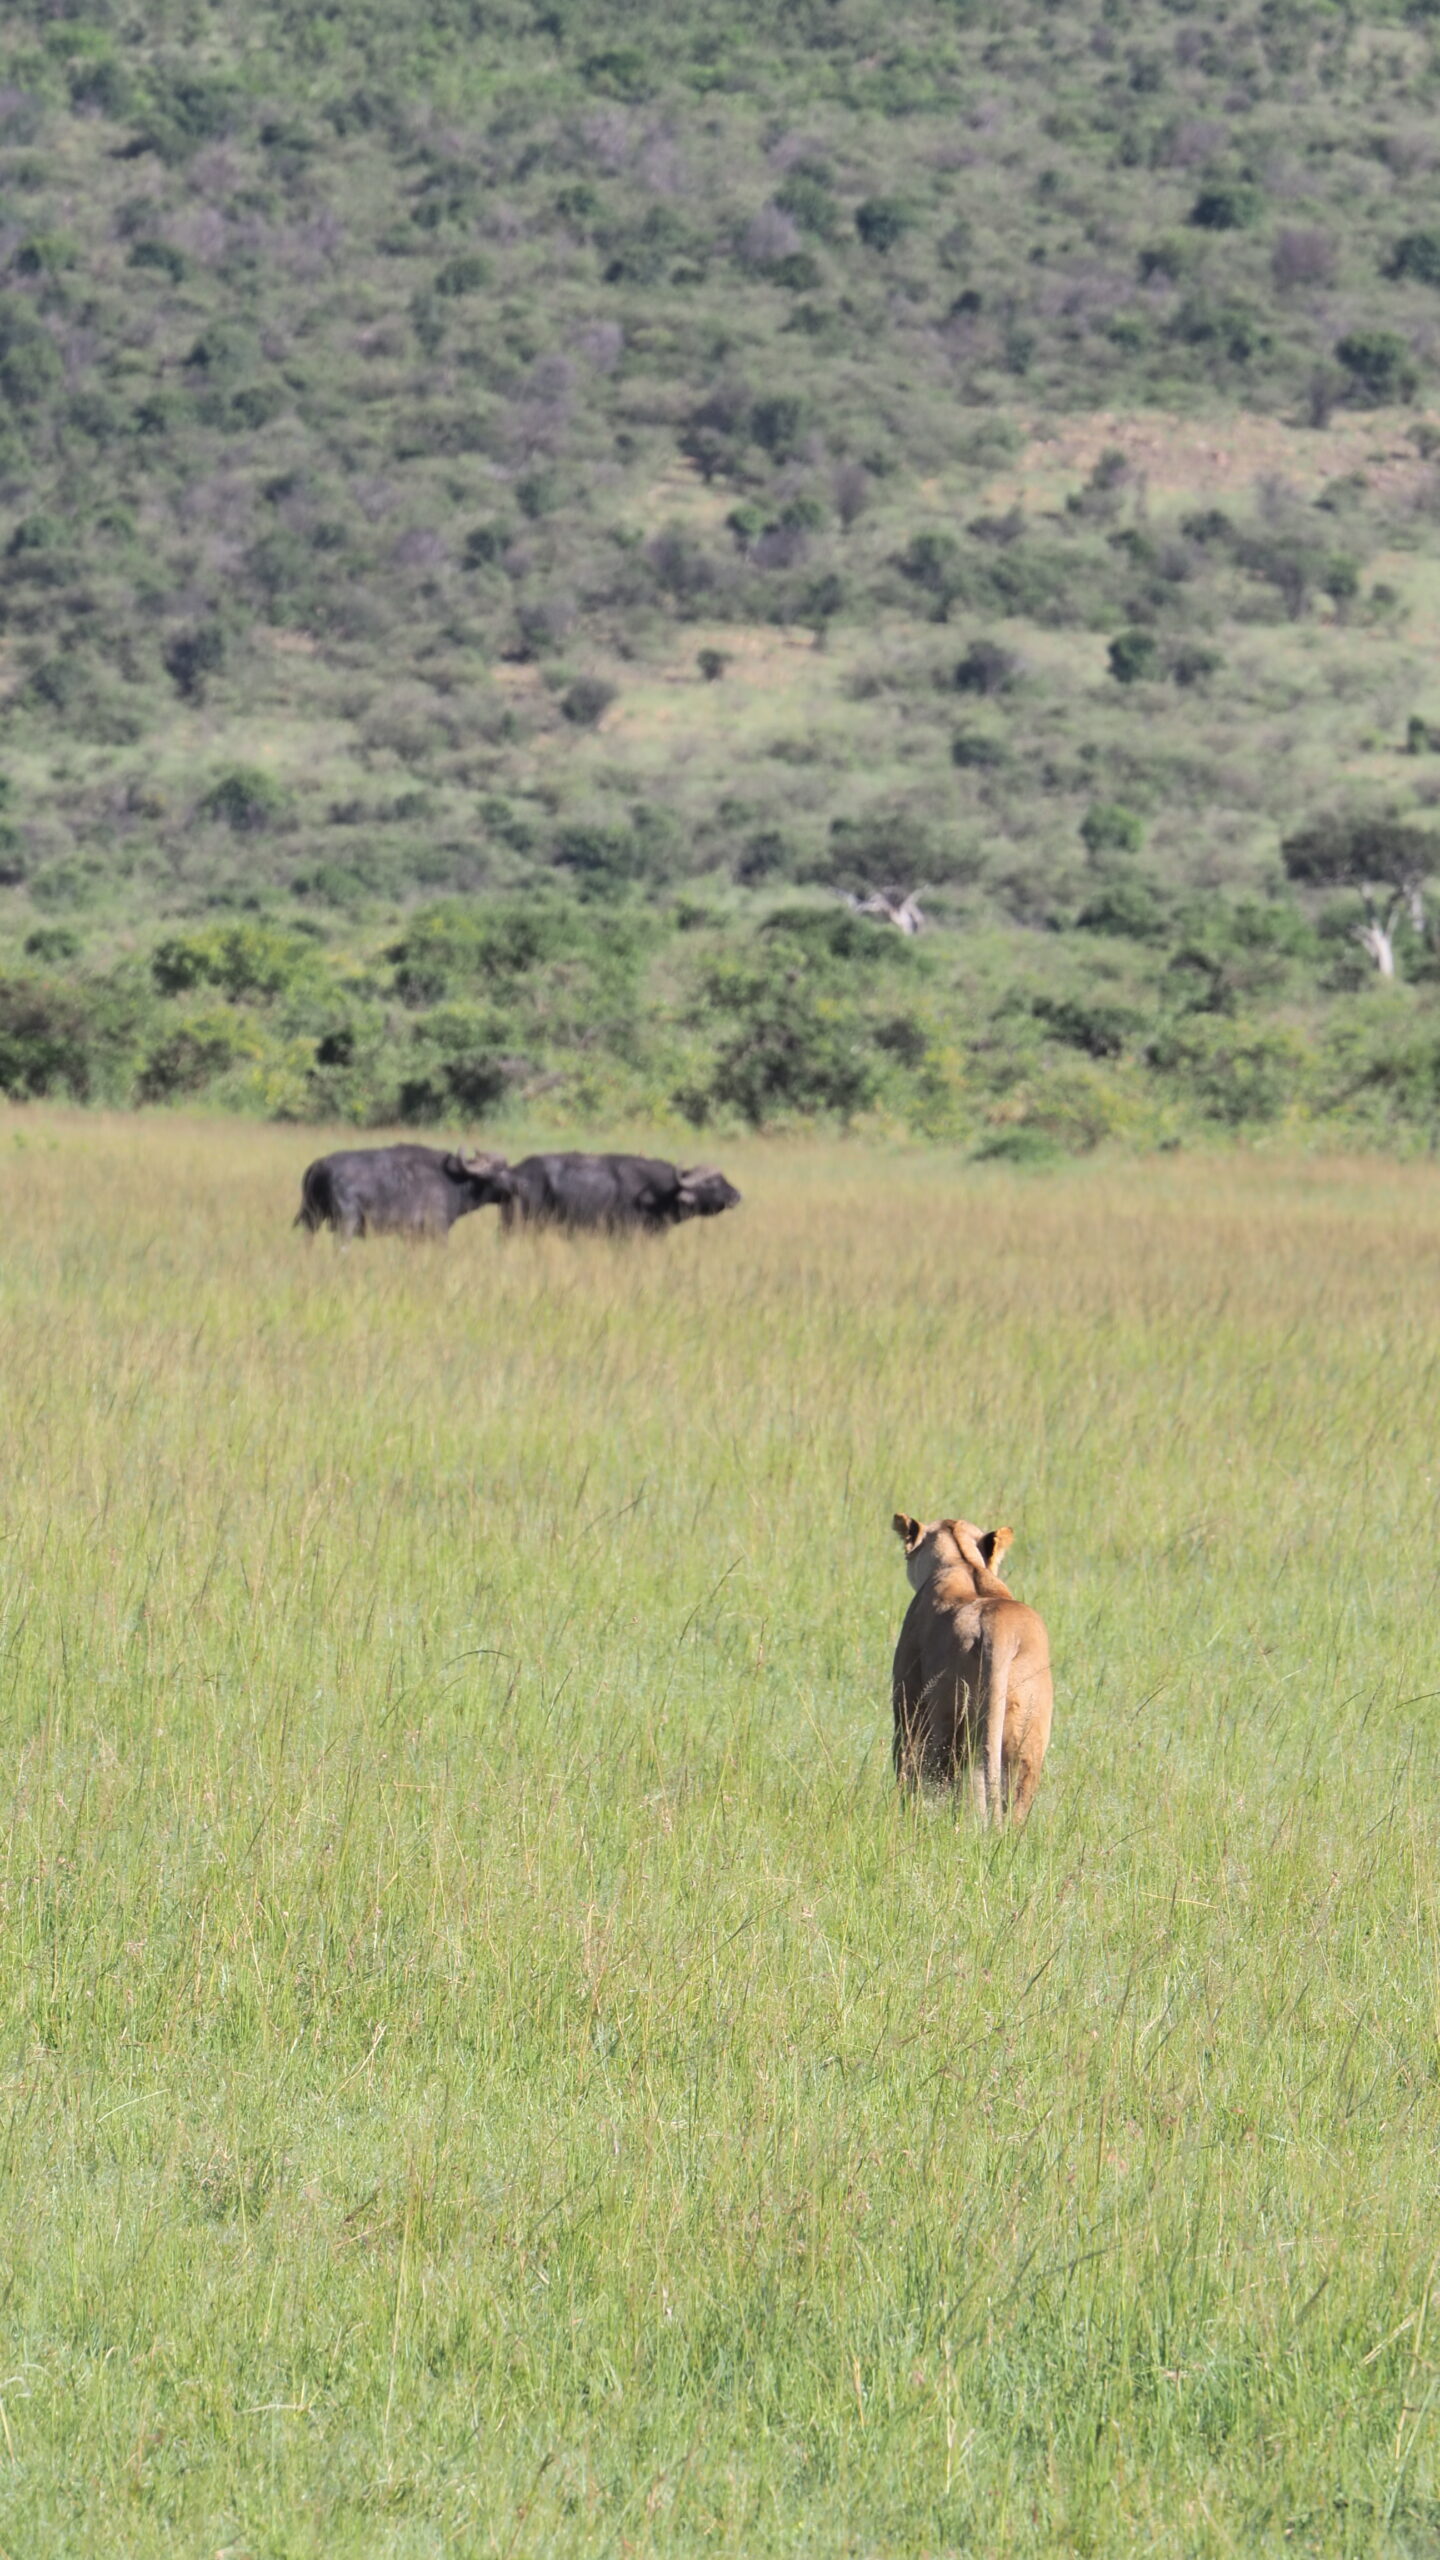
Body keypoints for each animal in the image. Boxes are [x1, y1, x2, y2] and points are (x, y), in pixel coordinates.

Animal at [890, 1512, 1053, 1826]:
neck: (961, 1561)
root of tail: (999, 1628)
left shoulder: (908, 1698)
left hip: (947, 1722)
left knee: (950, 1781)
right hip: (1028, 1732)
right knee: (1011, 1795)